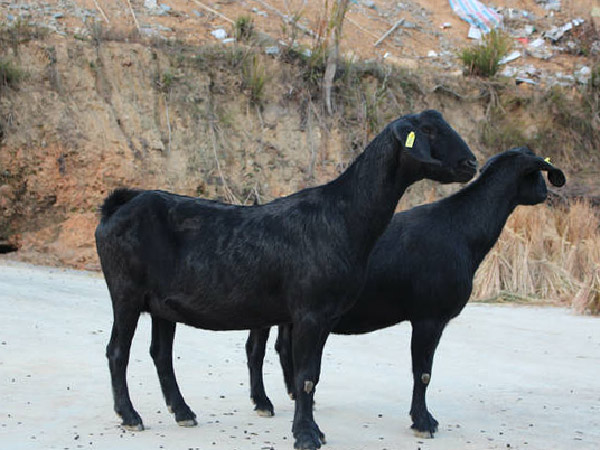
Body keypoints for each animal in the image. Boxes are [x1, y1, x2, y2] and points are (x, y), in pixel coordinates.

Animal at [95, 110, 477, 450]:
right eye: (428, 130)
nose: (470, 163)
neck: (342, 217)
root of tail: (118, 206)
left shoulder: (325, 316)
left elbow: (311, 375)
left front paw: (313, 430)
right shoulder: (310, 311)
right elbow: (305, 377)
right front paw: (306, 435)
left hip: (162, 304)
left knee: (161, 354)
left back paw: (183, 412)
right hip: (126, 292)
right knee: (117, 351)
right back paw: (130, 415)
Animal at [246, 147, 565, 438]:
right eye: (538, 173)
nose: (545, 194)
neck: (461, 230)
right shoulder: (429, 316)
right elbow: (423, 373)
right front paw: (423, 422)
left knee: (280, 347)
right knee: (256, 349)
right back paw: (263, 403)